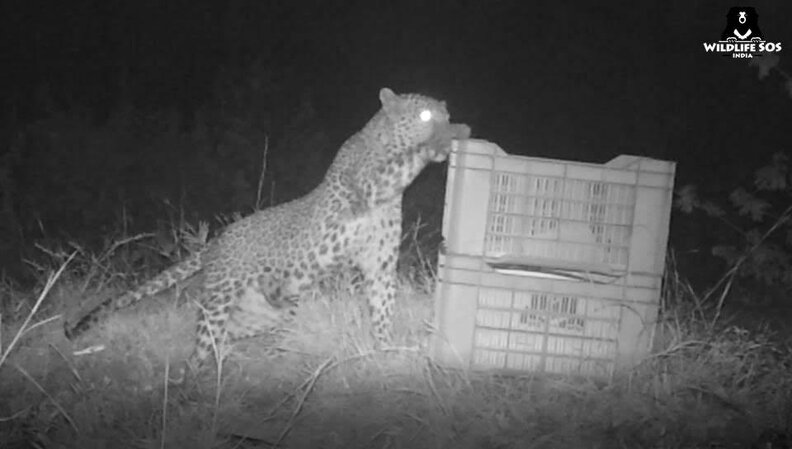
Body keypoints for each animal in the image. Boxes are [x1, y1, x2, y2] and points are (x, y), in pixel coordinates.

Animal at [65, 87, 471, 376]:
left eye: (446, 111)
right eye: (424, 114)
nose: (452, 122)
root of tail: (216, 242)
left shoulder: (380, 265)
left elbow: (383, 309)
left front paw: (386, 349)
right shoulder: (373, 181)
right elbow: (409, 155)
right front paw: (447, 138)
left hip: (265, 311)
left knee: (227, 334)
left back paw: (234, 358)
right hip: (220, 297)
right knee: (201, 343)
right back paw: (193, 378)